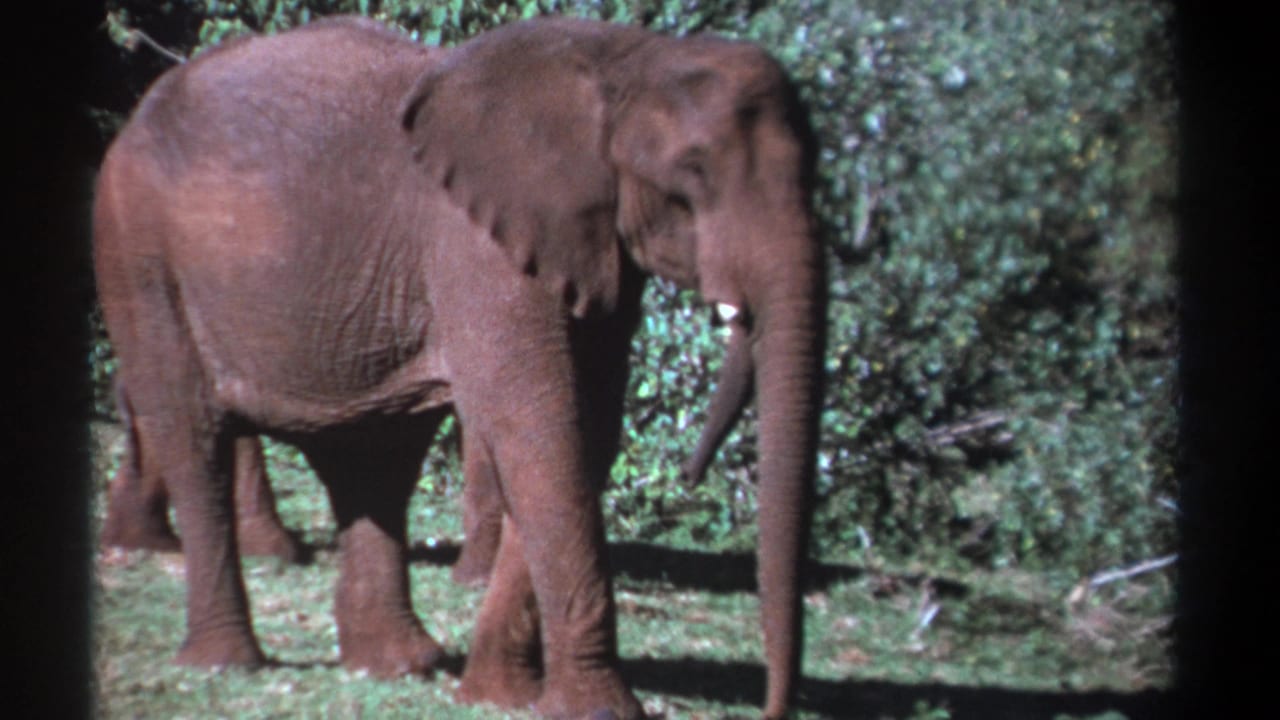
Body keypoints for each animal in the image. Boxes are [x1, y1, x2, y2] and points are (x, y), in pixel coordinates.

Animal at [93, 15, 824, 720]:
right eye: (691, 174)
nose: (774, 709)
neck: (627, 59)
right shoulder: (478, 246)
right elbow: (539, 429)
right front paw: (595, 711)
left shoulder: (590, 250)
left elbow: (583, 436)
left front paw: (496, 696)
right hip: (137, 255)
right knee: (195, 437)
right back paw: (227, 663)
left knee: (372, 461)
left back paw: (394, 665)